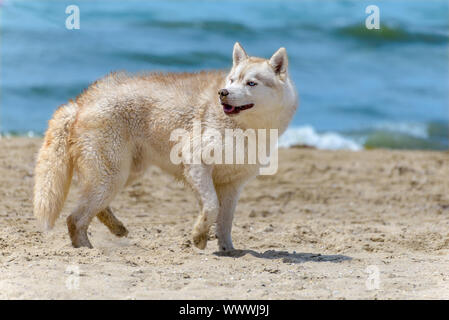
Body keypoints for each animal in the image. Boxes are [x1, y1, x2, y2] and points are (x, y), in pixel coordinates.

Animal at [33, 42, 296, 251]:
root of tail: (81, 101)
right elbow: (211, 207)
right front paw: (199, 236)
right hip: (113, 174)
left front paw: (226, 249)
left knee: (93, 208)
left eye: (251, 83)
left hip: (125, 173)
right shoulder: (196, 164)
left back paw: (117, 228)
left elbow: (224, 221)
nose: (223, 93)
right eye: (232, 80)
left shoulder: (232, 184)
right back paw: (87, 249)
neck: (246, 128)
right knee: (75, 218)